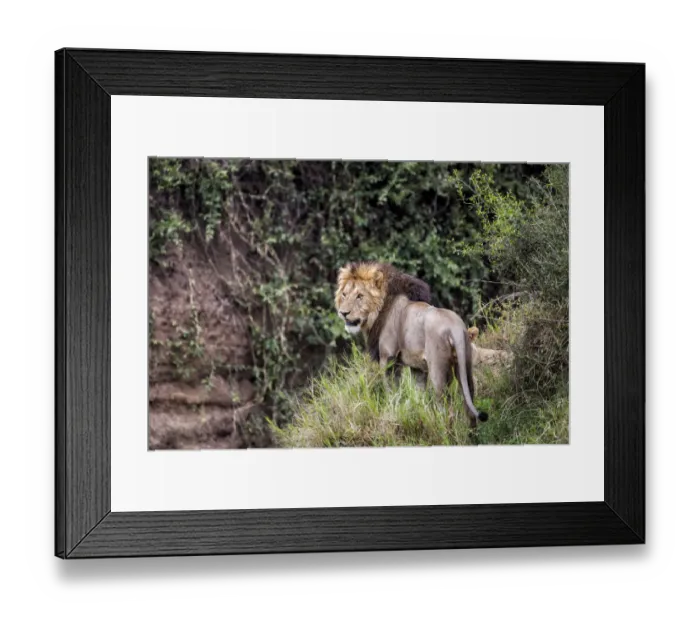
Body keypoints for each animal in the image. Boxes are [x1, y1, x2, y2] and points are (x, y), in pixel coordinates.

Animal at [335, 261, 487, 428]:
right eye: (344, 294)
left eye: (360, 296)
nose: (343, 313)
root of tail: (455, 328)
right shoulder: (417, 368)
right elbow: (419, 396)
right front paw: (419, 416)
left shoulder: (388, 359)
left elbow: (392, 392)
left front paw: (392, 412)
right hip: (465, 365)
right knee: (469, 403)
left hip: (438, 370)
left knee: (447, 409)